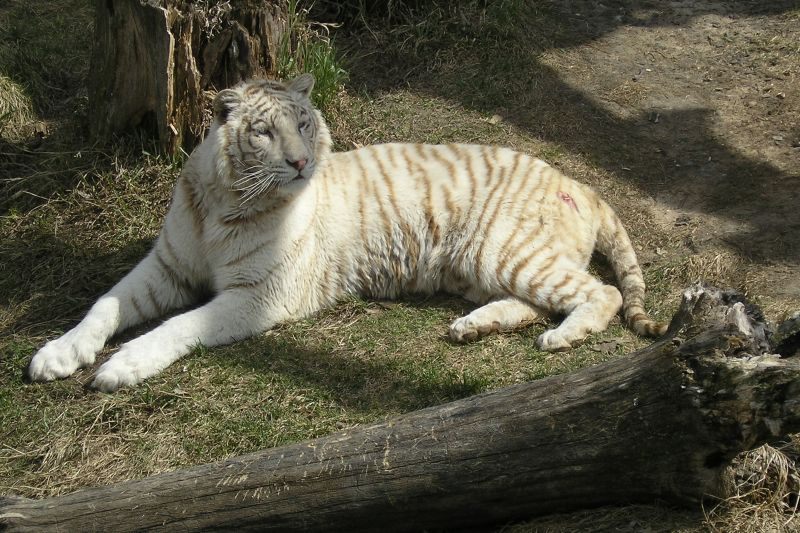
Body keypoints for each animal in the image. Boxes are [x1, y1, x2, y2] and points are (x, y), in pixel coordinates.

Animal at [28, 73, 666, 392]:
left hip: (502, 248)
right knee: (540, 301)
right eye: (263, 132)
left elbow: (179, 325)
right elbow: (106, 303)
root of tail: (580, 183)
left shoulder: (261, 295)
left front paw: (120, 368)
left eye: (304, 123)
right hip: (478, 265)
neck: (222, 200)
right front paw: (58, 355)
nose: (300, 162)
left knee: (603, 292)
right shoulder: (167, 264)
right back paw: (473, 326)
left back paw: (562, 338)